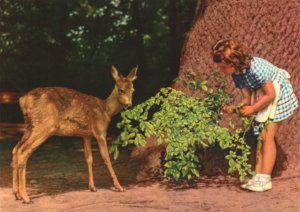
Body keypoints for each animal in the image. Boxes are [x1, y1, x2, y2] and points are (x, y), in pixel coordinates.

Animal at [11, 66, 138, 204]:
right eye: (121, 90)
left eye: (133, 90)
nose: (128, 105)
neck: (106, 110)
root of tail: (22, 100)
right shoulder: (100, 132)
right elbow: (106, 158)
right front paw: (119, 187)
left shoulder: (86, 135)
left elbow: (89, 159)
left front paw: (92, 187)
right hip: (44, 125)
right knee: (23, 152)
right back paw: (26, 197)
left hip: (30, 126)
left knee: (15, 150)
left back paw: (17, 194)